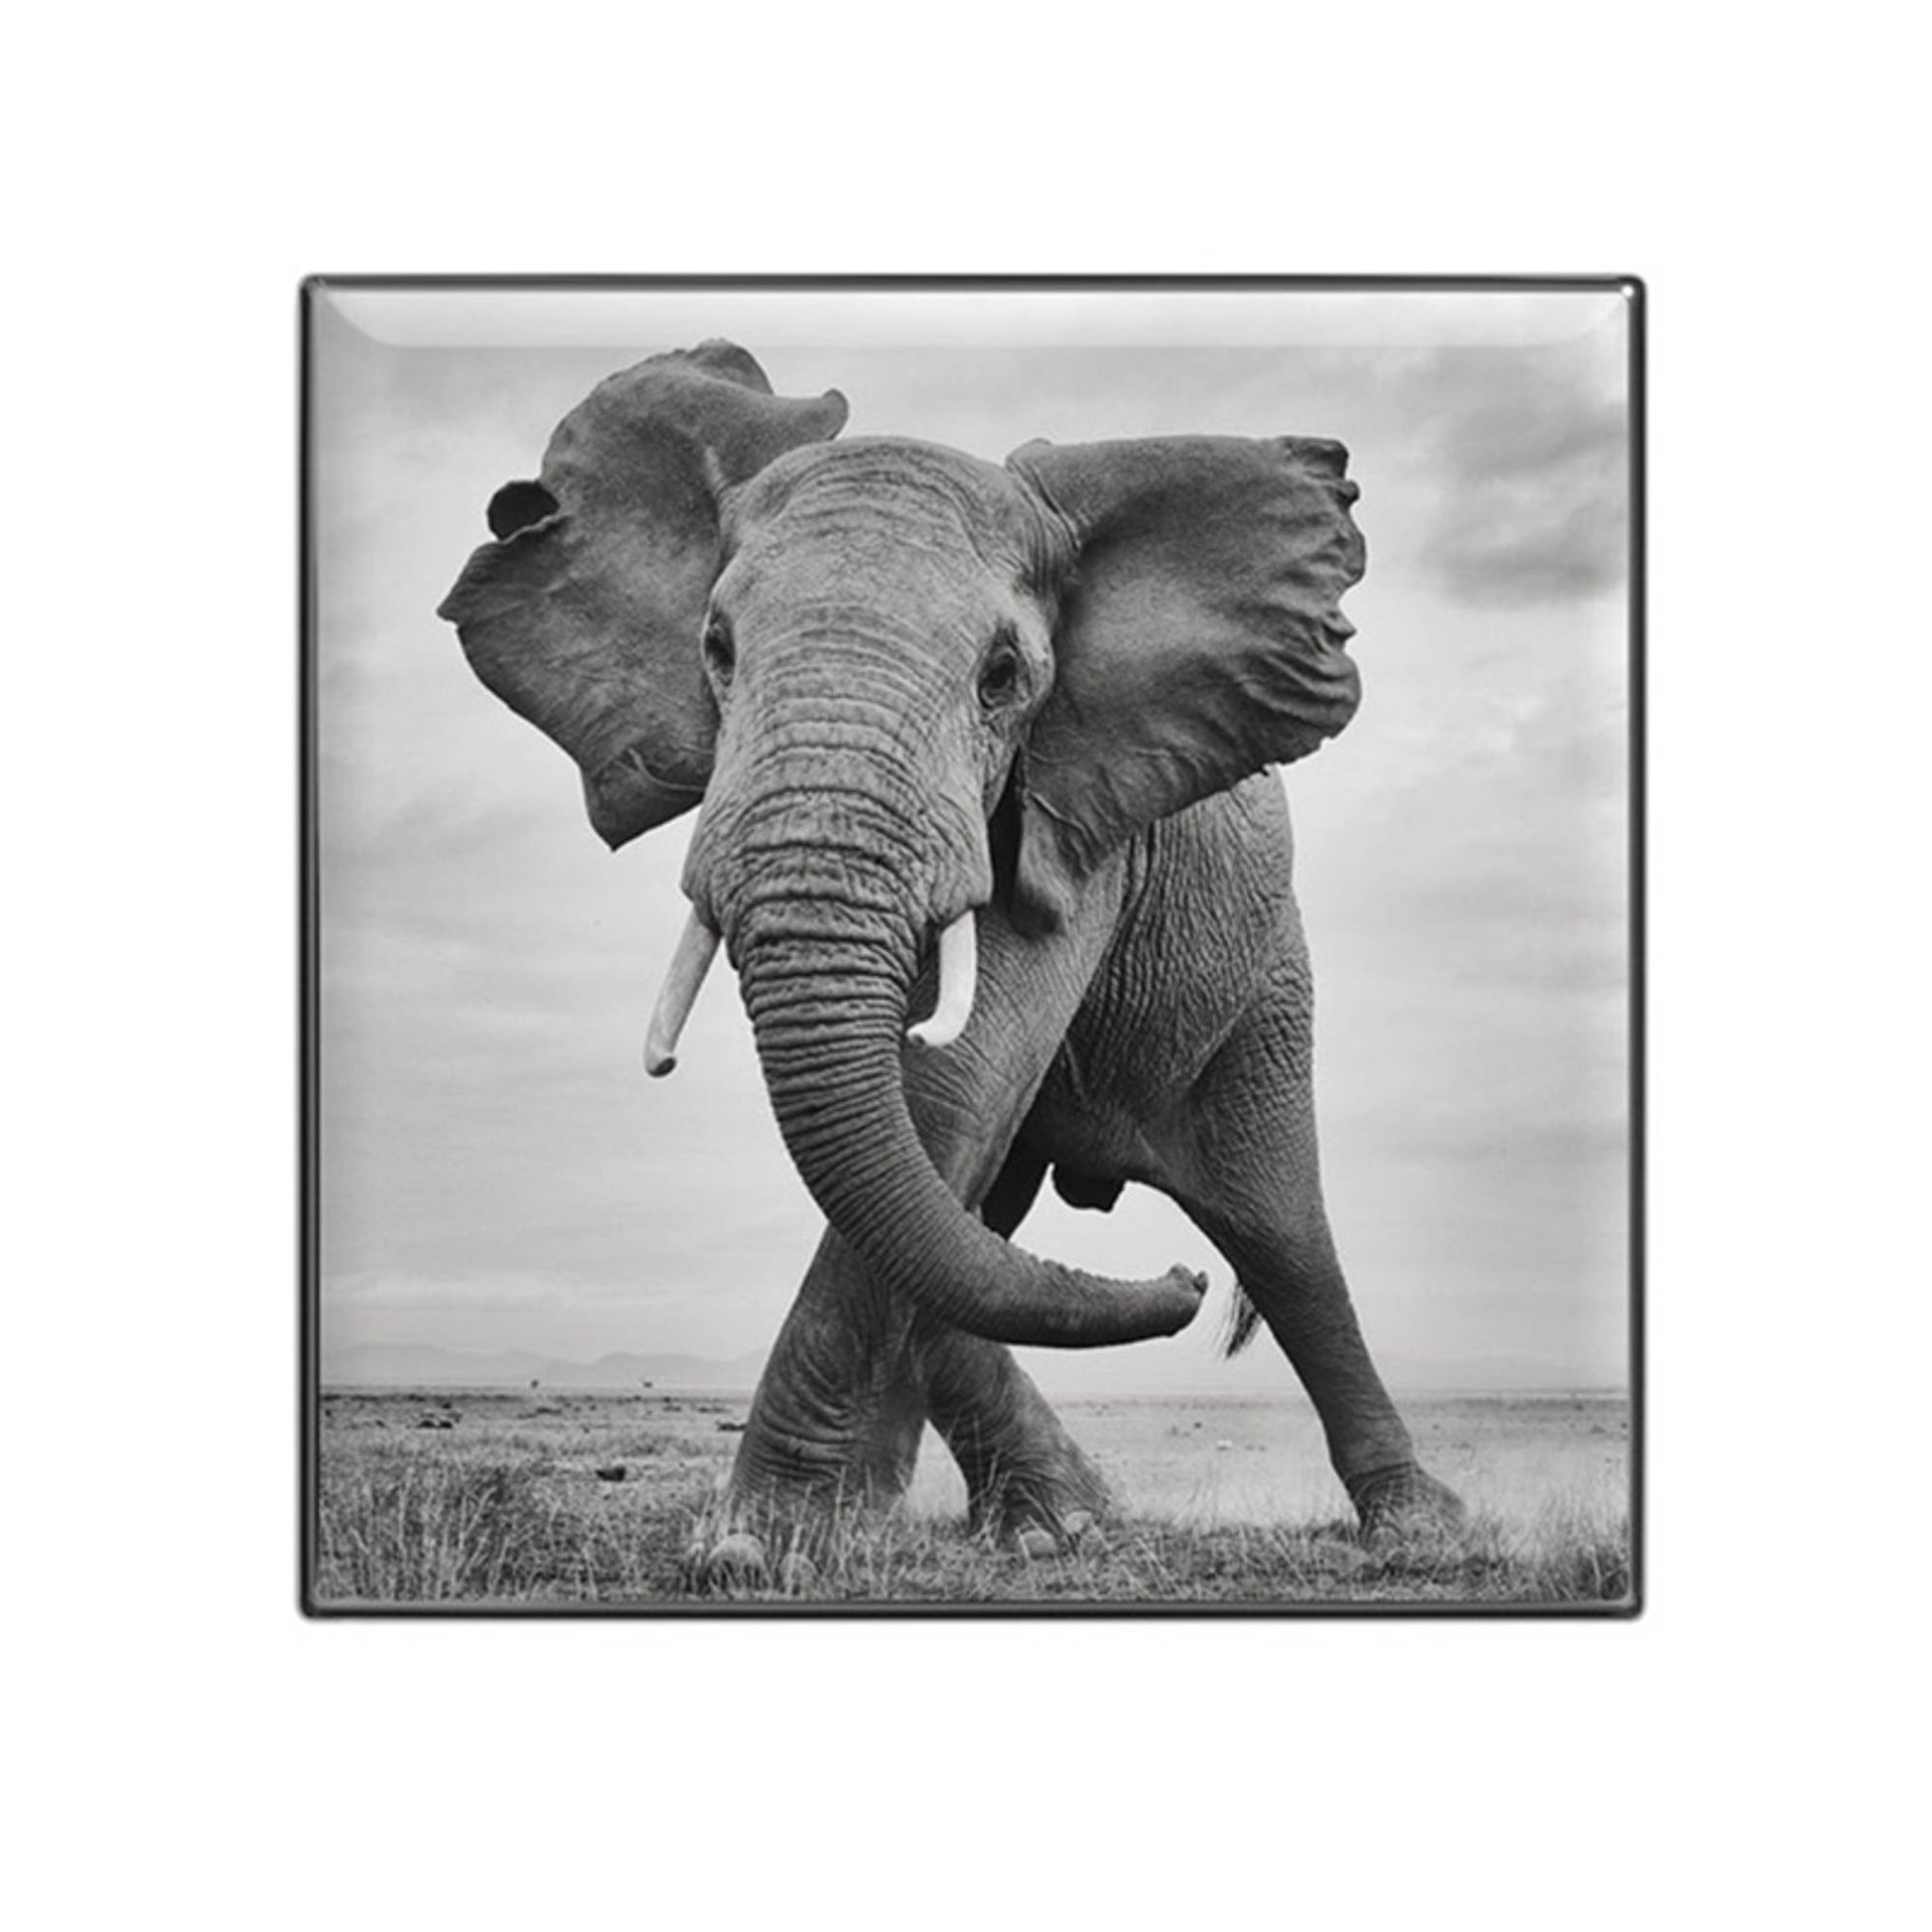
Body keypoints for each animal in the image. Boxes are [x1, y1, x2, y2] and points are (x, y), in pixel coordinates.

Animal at [438, 339, 1464, 1584]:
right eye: (716, 650)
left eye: (1002, 675)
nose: (1177, 1282)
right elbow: (928, 1166)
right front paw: (872, 1531)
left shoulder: (1069, 811)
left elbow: (948, 1092)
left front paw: (753, 1546)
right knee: (985, 1216)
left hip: (1261, 981)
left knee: (1278, 1233)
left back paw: (1418, 1526)